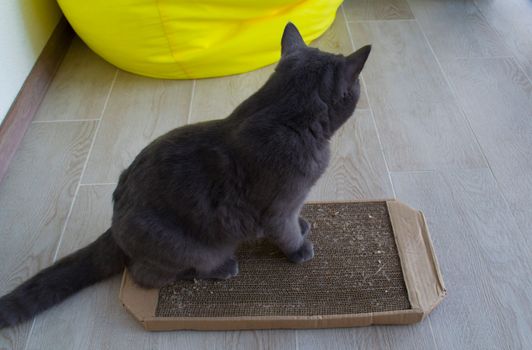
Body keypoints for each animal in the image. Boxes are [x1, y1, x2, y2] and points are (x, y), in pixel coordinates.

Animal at [0, 22, 370, 328]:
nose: (360, 92)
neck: (284, 116)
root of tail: (114, 225)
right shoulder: (279, 208)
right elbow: (286, 232)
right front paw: (301, 250)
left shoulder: (293, 203)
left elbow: (296, 220)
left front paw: (305, 224)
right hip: (190, 248)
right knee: (147, 275)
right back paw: (222, 269)